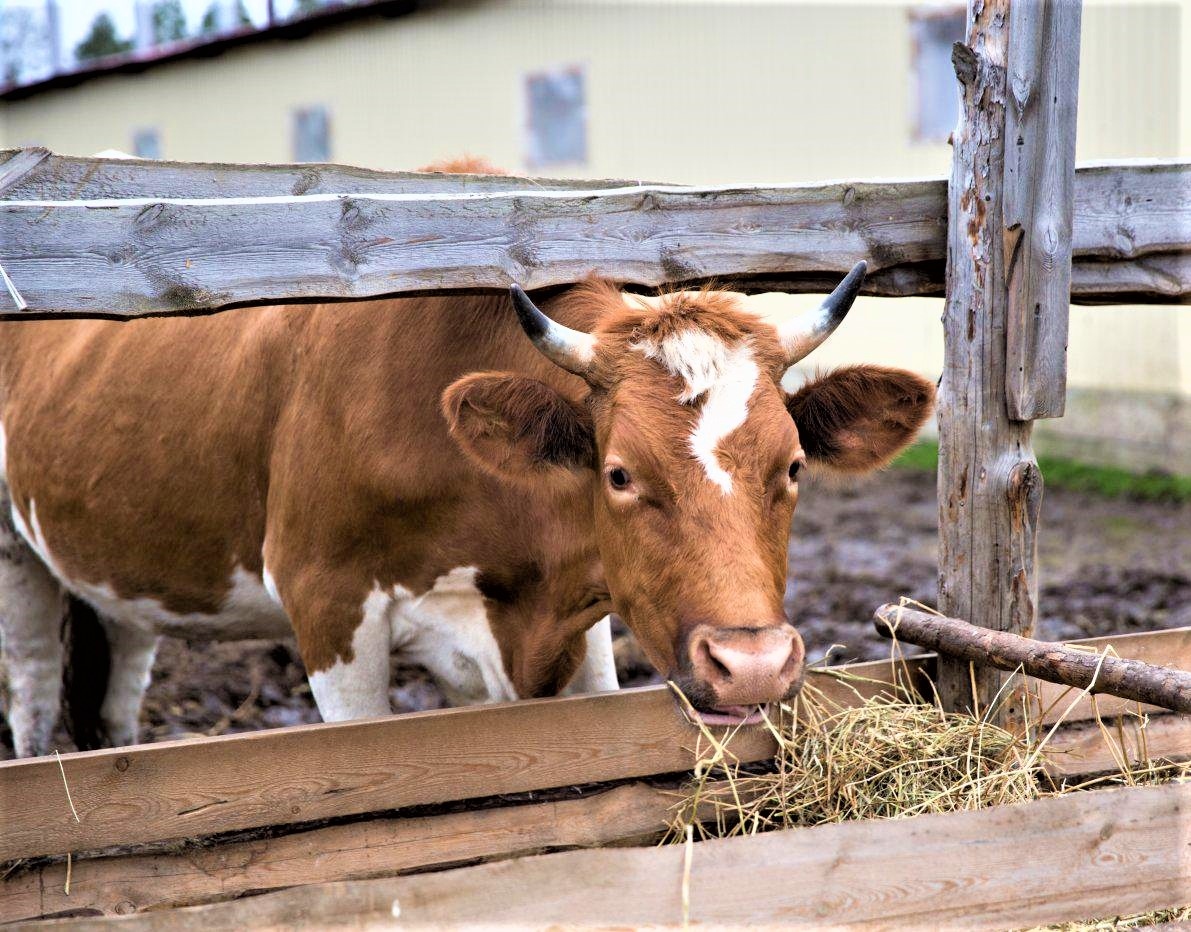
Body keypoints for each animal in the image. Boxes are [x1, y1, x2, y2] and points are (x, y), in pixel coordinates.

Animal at [0, 254, 928, 757]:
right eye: (618, 474)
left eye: (794, 465)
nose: (754, 664)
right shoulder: (327, 603)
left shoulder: (577, 626)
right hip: (14, 558)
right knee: (35, 692)